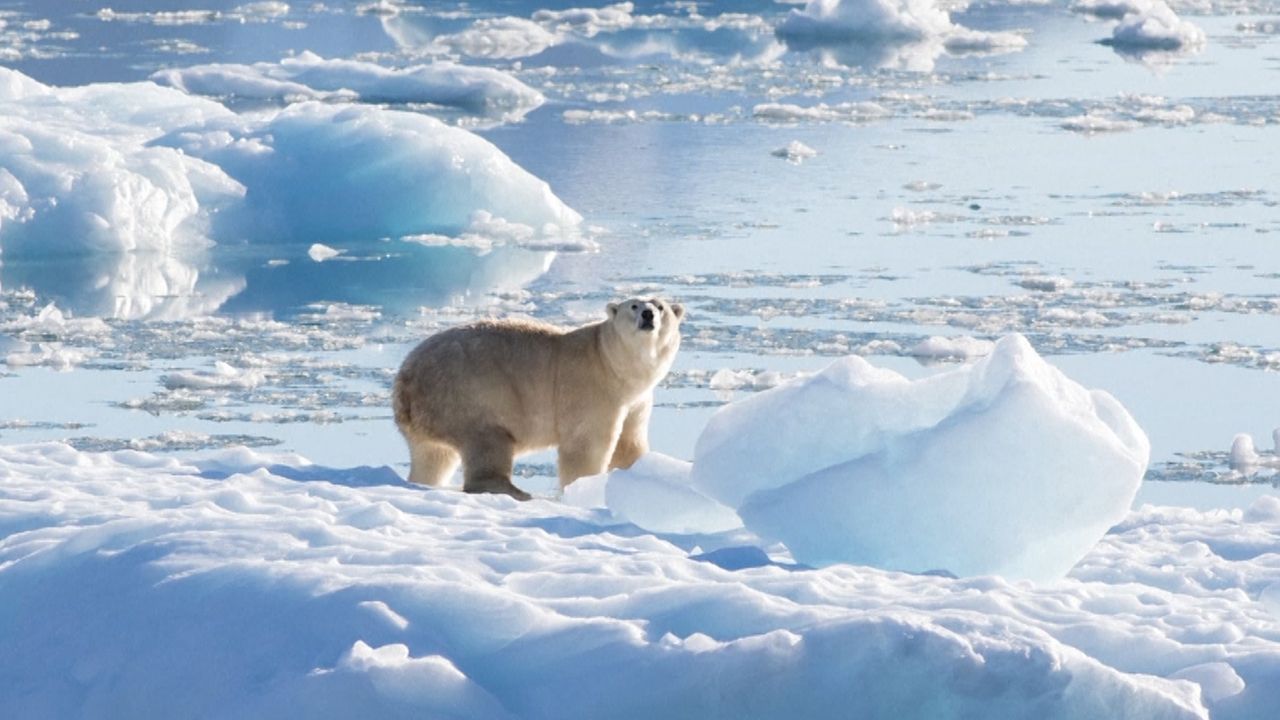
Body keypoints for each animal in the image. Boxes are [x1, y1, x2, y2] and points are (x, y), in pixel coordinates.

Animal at [391, 294, 686, 497]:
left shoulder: (637, 400)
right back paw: (516, 491)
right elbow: (586, 445)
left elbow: (629, 444)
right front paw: (583, 488)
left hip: (431, 414)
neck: (611, 362)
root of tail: (405, 380)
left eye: (660, 306)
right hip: (468, 393)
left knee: (433, 456)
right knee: (487, 441)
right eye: (633, 305)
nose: (648, 314)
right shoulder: (591, 388)